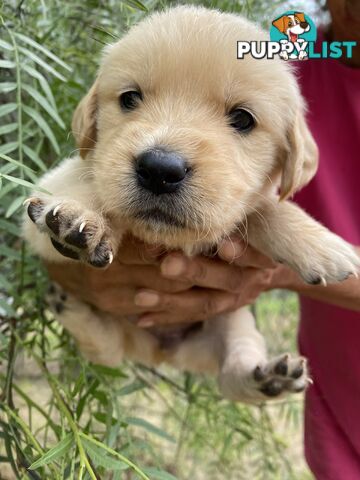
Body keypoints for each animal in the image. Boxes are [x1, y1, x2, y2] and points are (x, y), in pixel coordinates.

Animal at [23, 6, 358, 402]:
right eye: (129, 99)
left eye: (242, 118)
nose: (159, 170)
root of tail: (161, 350)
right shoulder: (47, 194)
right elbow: (87, 183)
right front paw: (80, 217)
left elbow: (264, 208)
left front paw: (322, 245)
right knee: (105, 347)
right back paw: (73, 307)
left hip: (236, 321)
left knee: (232, 373)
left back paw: (268, 378)